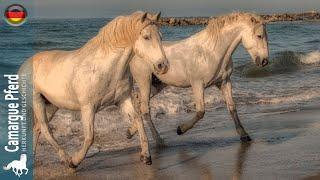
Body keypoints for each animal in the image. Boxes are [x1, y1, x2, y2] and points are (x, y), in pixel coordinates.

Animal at [17, 11, 169, 169]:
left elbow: (138, 120)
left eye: (161, 36)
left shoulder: (122, 100)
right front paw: (75, 161)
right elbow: (90, 137)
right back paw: (66, 159)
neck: (105, 69)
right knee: (46, 130)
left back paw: (32, 159)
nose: (163, 66)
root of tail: (25, 65)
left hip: (51, 105)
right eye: (146, 37)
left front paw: (146, 156)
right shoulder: (88, 108)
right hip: (37, 102)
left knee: (38, 129)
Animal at [129, 12, 268, 145]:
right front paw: (180, 129)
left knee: (139, 103)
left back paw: (130, 132)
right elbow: (201, 112)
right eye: (259, 36)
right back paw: (158, 140)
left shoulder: (224, 82)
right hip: (145, 82)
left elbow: (232, 108)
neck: (211, 52)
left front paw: (244, 135)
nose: (264, 61)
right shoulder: (197, 85)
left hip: (157, 85)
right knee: (145, 109)